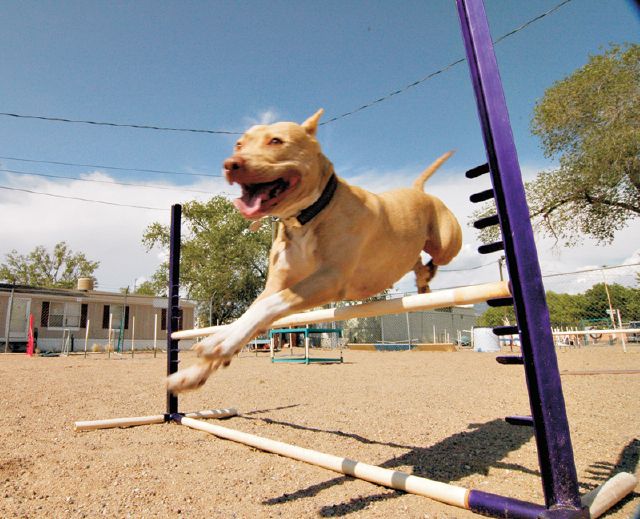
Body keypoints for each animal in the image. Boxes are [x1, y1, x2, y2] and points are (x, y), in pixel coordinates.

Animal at [168, 110, 462, 394]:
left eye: (276, 141)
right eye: (238, 144)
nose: (231, 164)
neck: (306, 216)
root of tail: (418, 190)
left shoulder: (328, 278)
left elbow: (264, 308)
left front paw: (218, 340)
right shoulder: (276, 284)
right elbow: (252, 312)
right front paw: (192, 375)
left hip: (447, 244)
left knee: (436, 255)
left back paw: (427, 275)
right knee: (415, 260)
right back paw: (423, 279)